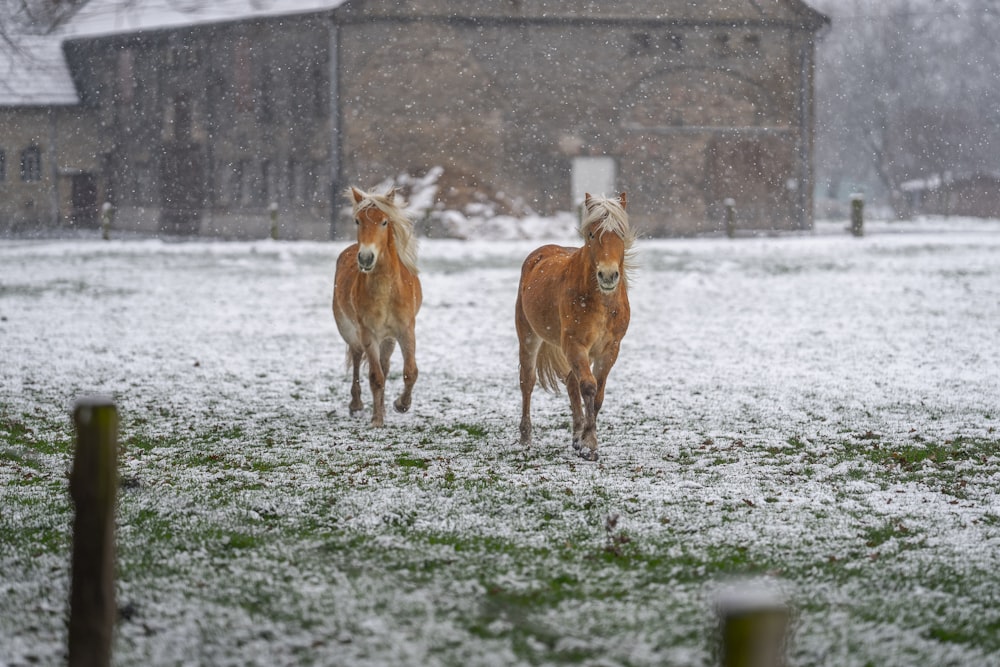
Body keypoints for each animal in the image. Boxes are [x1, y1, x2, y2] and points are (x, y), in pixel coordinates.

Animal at [330, 188, 420, 428]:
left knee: (385, 366)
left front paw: (400, 405)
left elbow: (410, 372)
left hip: (388, 339)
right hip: (351, 332)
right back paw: (357, 405)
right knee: (357, 359)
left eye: (384, 222)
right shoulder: (368, 333)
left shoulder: (406, 331)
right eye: (357, 221)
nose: (366, 257)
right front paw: (377, 420)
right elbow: (375, 377)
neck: (385, 290)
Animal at [516, 192, 632, 460]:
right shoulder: (575, 344)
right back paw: (525, 438)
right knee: (527, 381)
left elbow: (597, 393)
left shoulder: (610, 349)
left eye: (620, 233)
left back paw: (575, 436)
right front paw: (590, 443)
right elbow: (588, 387)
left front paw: (584, 440)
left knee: (570, 381)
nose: (608, 275)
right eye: (591, 234)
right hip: (528, 337)